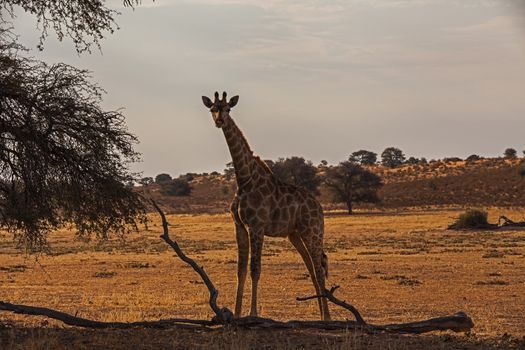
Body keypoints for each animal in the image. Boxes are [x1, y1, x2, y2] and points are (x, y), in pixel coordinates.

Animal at [202, 92, 330, 320]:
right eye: (212, 109)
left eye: (228, 109)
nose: (220, 121)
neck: (244, 180)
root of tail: (319, 208)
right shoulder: (240, 226)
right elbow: (241, 270)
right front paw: (236, 314)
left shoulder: (257, 226)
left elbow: (255, 268)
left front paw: (252, 313)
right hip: (295, 234)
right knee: (311, 266)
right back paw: (322, 316)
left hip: (313, 231)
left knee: (319, 267)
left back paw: (329, 318)